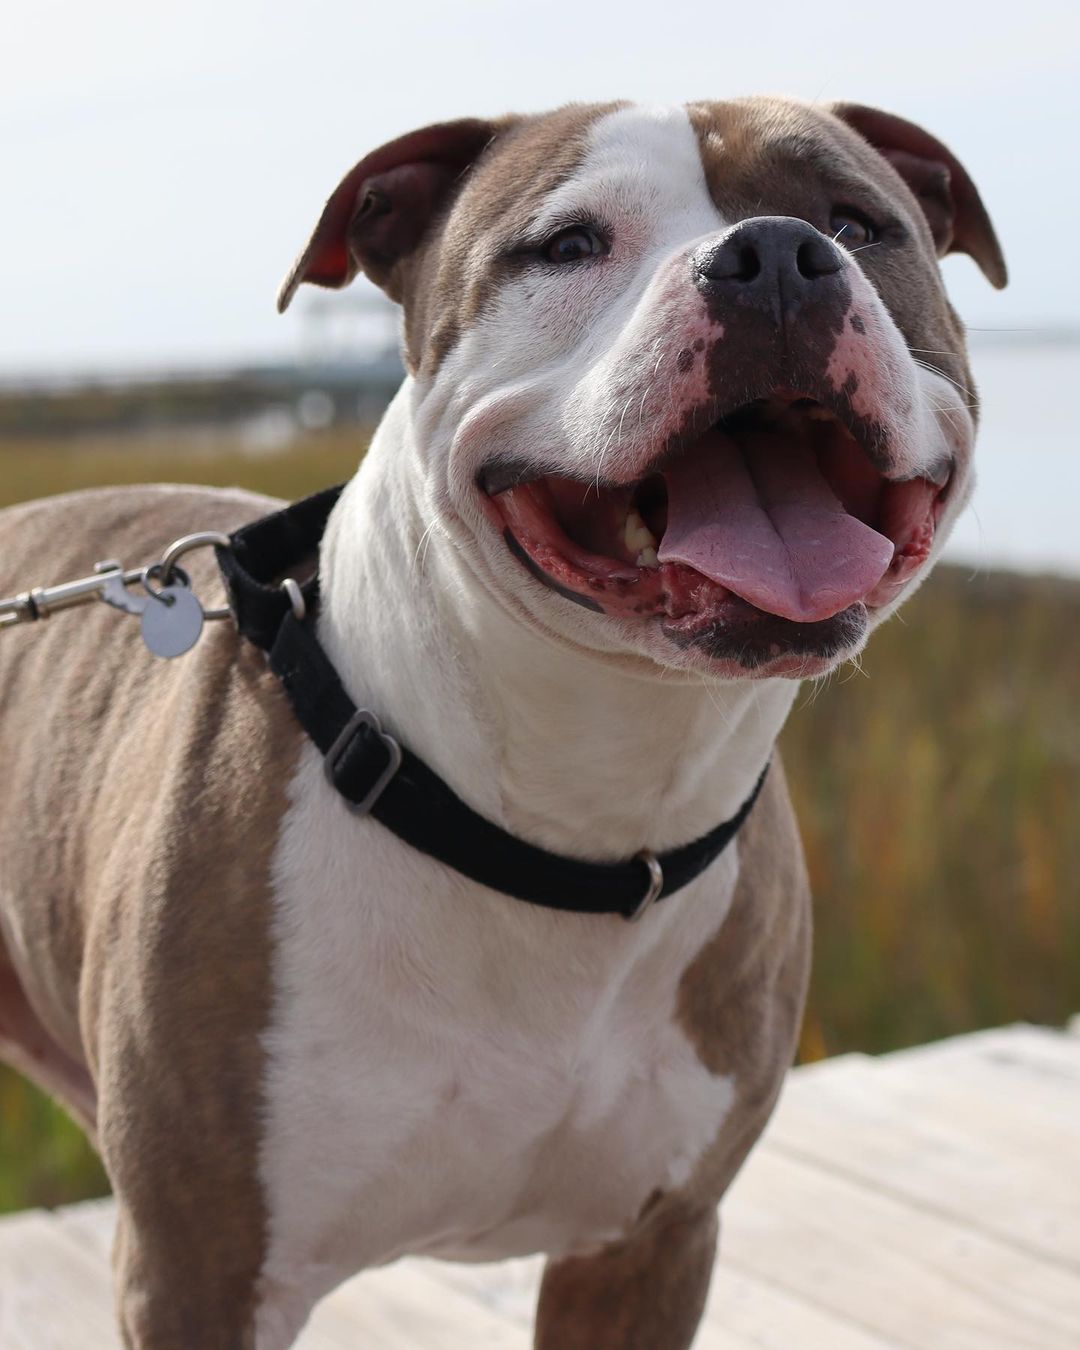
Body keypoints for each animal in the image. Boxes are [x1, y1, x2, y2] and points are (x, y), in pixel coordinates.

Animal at [0, 99, 1004, 1344]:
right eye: (567, 245)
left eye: (861, 225)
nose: (775, 257)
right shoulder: (199, 1271)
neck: (582, 807)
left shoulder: (649, 1246)